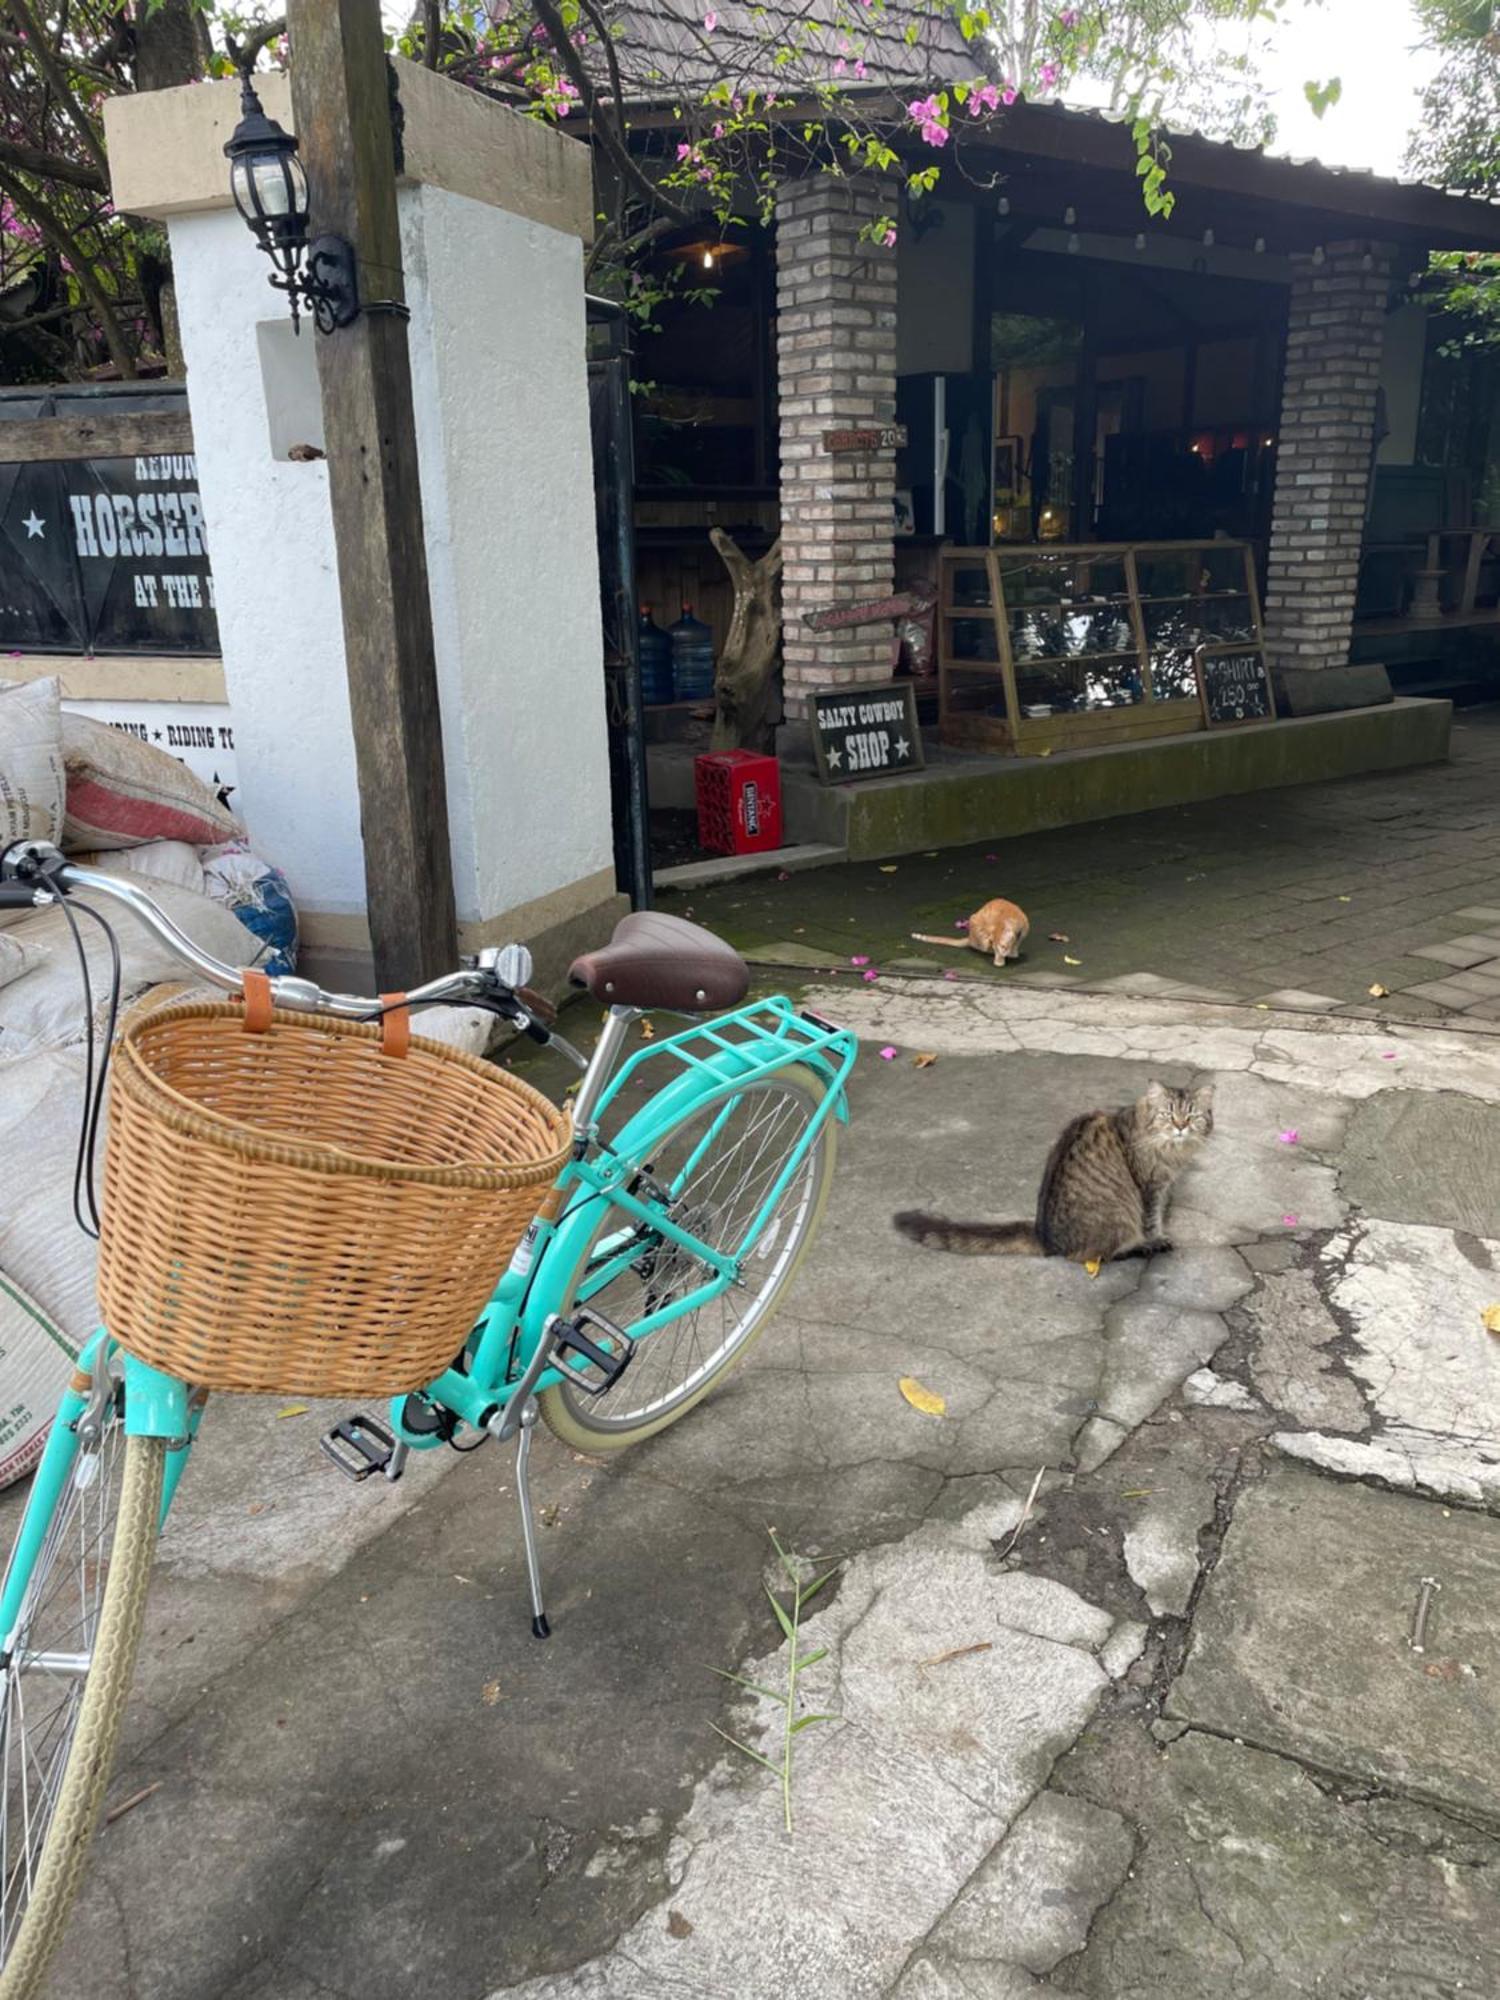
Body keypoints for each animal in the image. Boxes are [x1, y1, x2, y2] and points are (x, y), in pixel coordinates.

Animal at [900, 1080, 1216, 1264]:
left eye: (1191, 1115)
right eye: (1168, 1114)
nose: (1180, 1126)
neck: (1172, 1150)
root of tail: (1045, 1237)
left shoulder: (1162, 1185)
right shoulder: (1149, 1186)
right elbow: (1151, 1221)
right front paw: (1157, 1239)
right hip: (1117, 1218)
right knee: (1092, 1256)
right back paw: (1137, 1249)